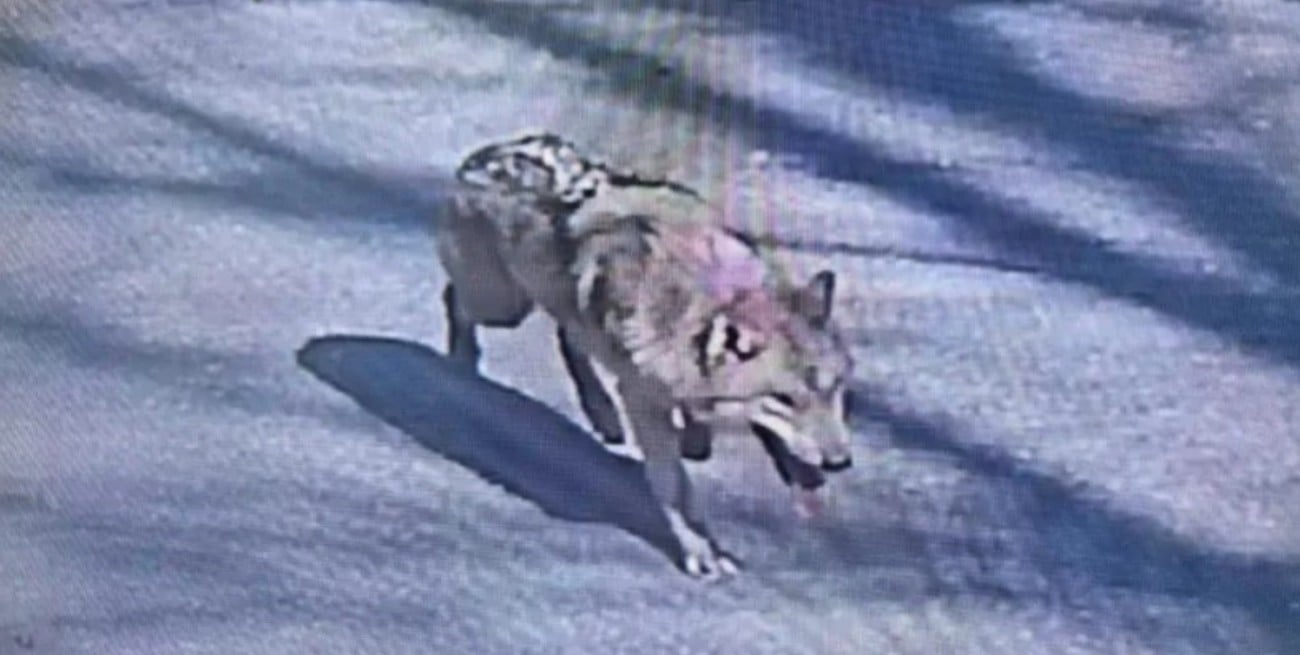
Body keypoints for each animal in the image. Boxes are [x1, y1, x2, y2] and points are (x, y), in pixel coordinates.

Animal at [437, 132, 854, 577]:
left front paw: (699, 439)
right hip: (501, 307)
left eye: (834, 390)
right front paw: (702, 552)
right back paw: (461, 362)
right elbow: (673, 487)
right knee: (456, 299)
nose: (840, 462)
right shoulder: (643, 401)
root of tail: (486, 154)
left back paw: (602, 414)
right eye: (785, 400)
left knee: (569, 336)